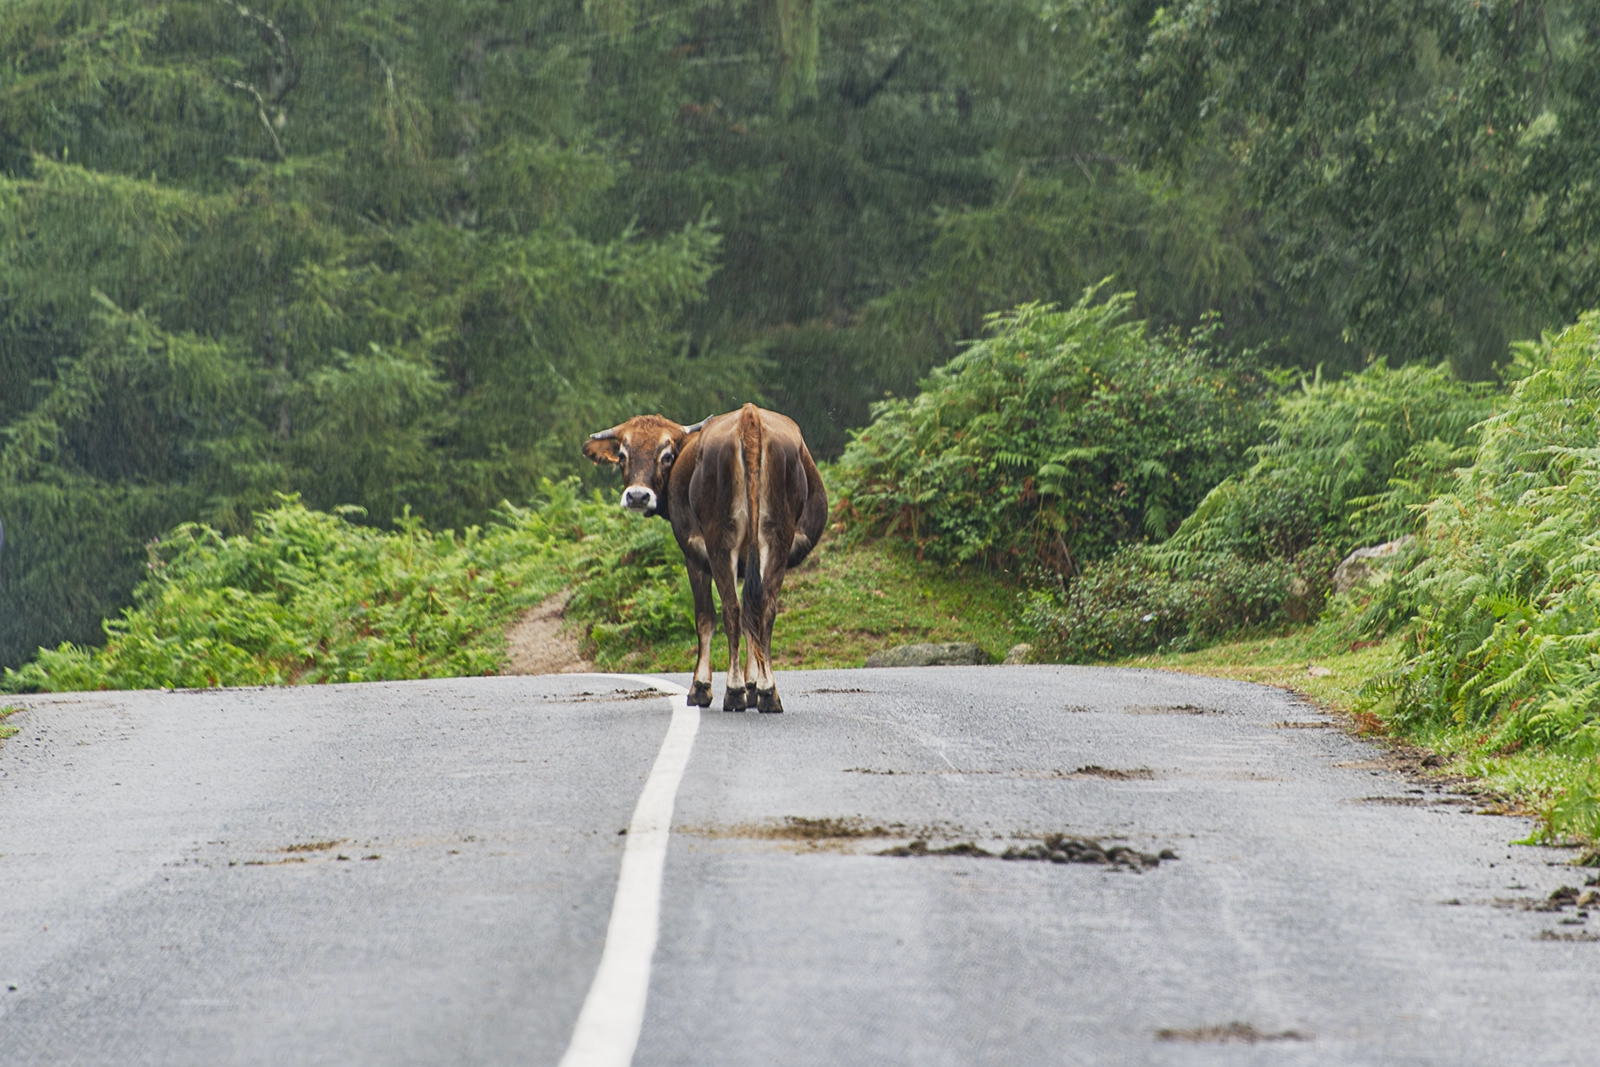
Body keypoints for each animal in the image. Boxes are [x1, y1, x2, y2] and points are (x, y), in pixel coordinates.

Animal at [582, 404, 827, 713]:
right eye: (623, 455)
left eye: (666, 455)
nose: (638, 496)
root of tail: (749, 415)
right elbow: (751, 622)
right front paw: (753, 685)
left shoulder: (694, 557)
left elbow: (705, 619)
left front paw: (704, 687)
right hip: (776, 542)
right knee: (763, 609)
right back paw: (768, 692)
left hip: (720, 543)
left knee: (730, 611)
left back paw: (732, 691)